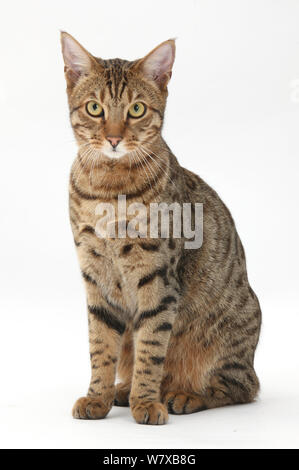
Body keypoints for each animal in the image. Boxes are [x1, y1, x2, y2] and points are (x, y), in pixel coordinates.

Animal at [61, 31, 262, 424]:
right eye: (94, 108)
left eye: (137, 110)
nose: (113, 138)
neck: (109, 188)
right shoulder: (95, 276)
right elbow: (101, 346)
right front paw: (98, 396)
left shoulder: (158, 278)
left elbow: (152, 347)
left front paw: (145, 402)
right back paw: (122, 390)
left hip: (228, 340)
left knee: (238, 387)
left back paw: (181, 395)